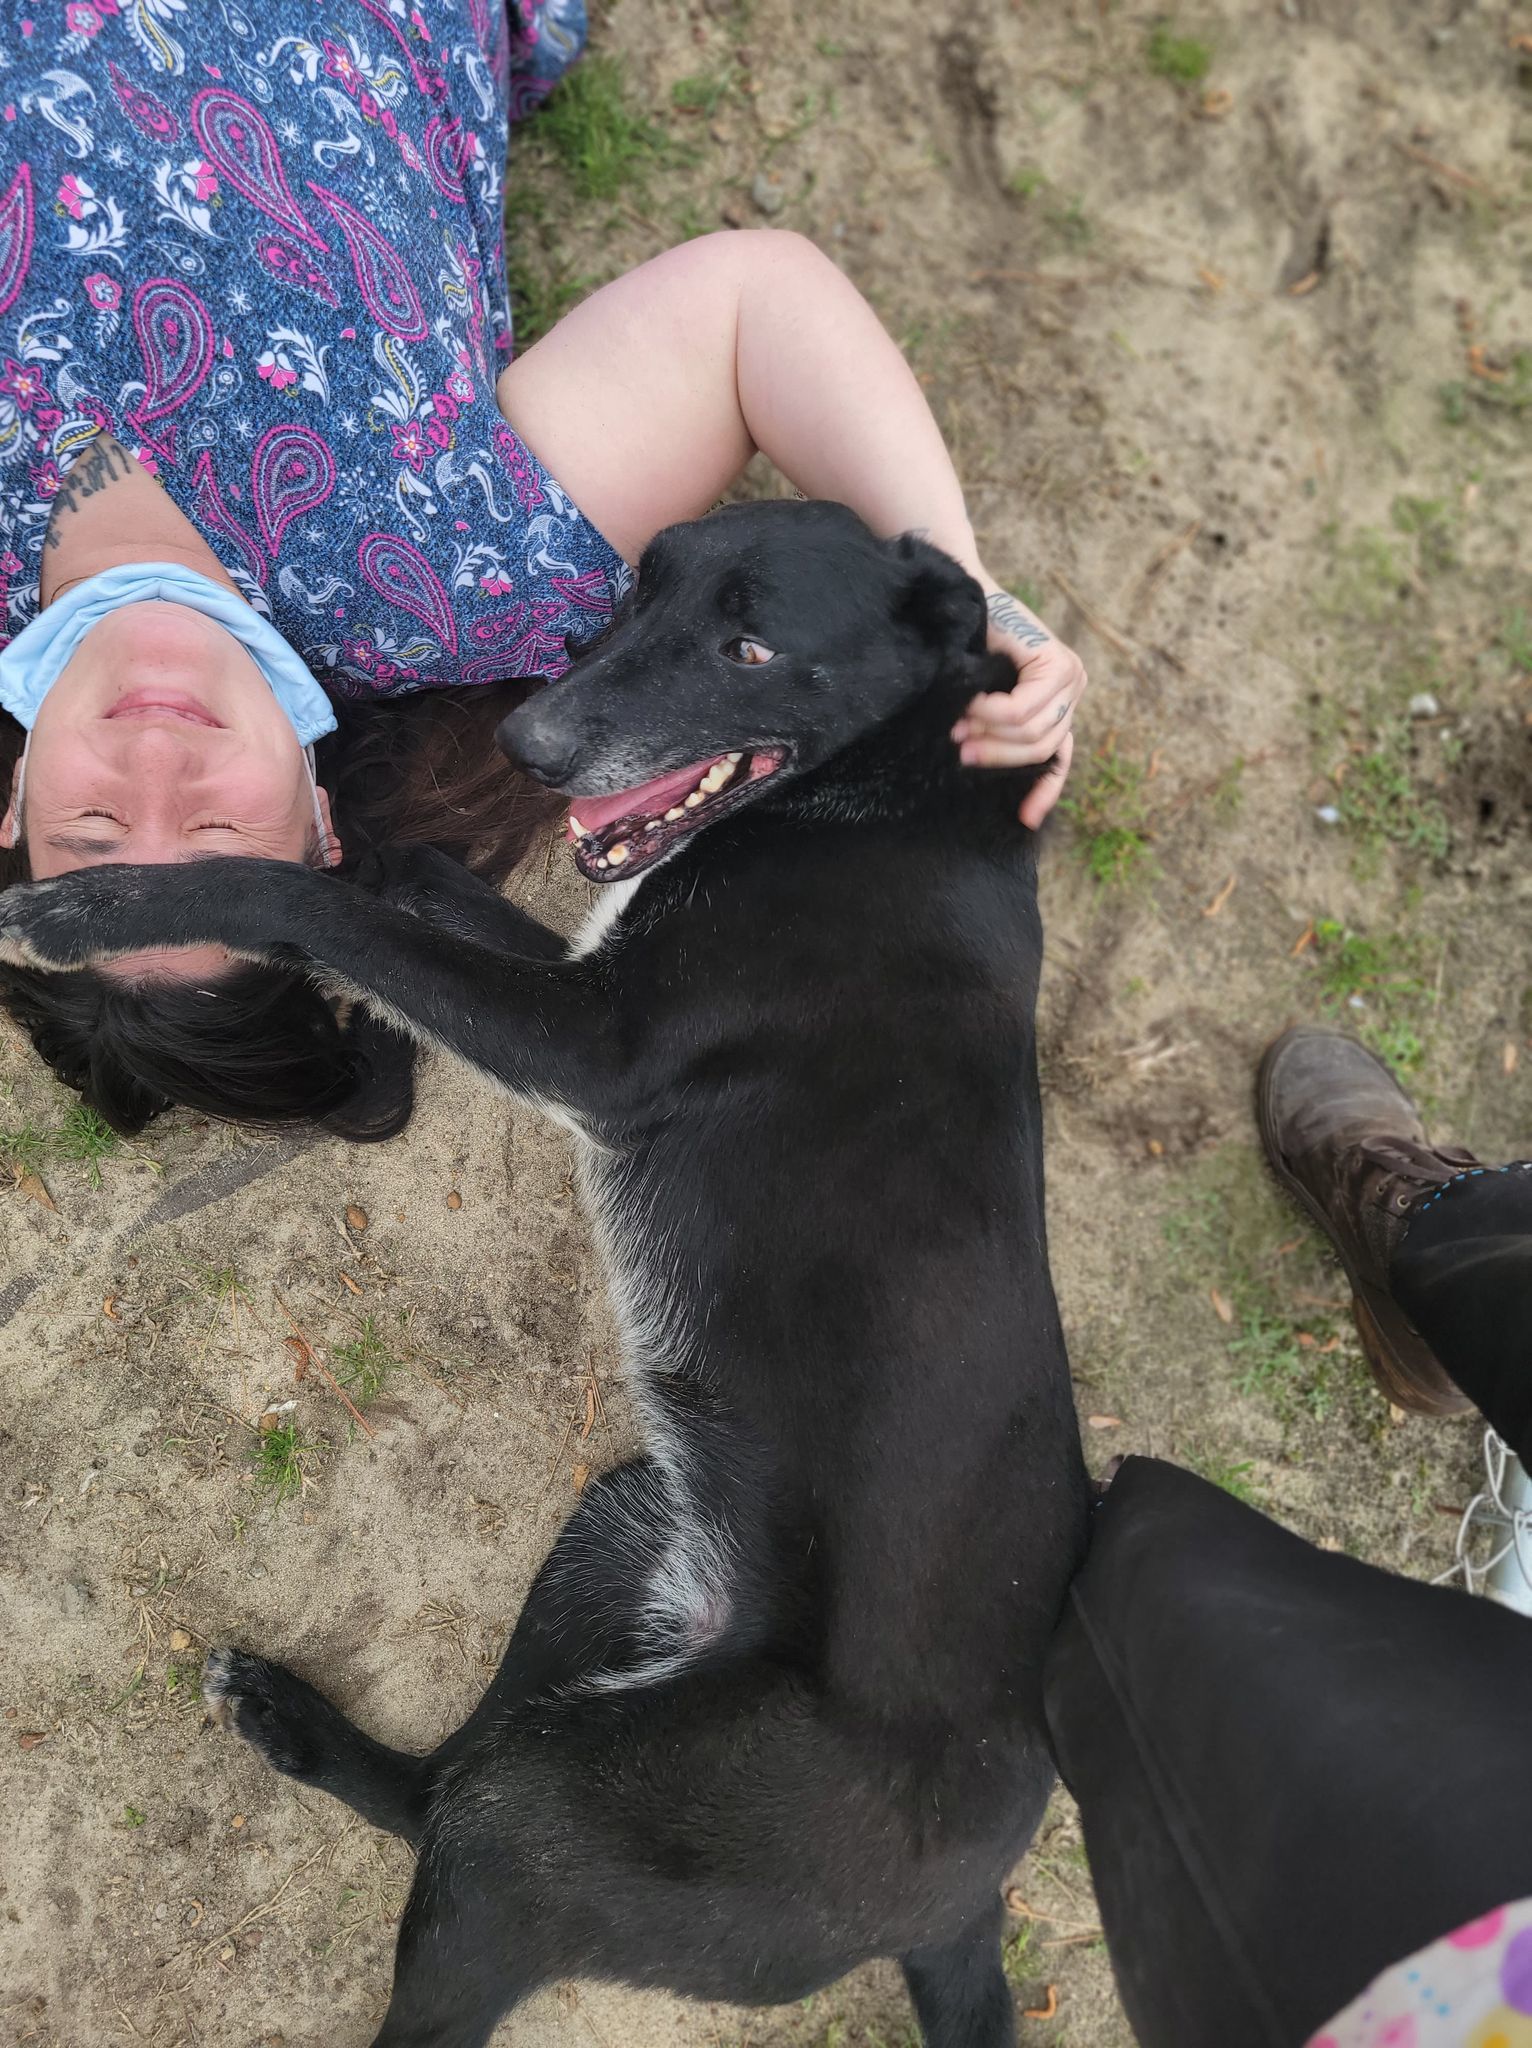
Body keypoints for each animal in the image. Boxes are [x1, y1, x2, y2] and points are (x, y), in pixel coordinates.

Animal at [0, 499, 1089, 2048]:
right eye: (641, 585)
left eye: (750, 646)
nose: (528, 745)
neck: (874, 791)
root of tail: (967, 1909)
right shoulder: (573, 959)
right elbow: (402, 887)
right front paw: (354, 836)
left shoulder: (589, 1043)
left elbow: (305, 902)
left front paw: (102, 907)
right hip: (620, 1529)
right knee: (432, 1786)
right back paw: (284, 1718)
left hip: (553, 1815)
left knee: (454, 1888)